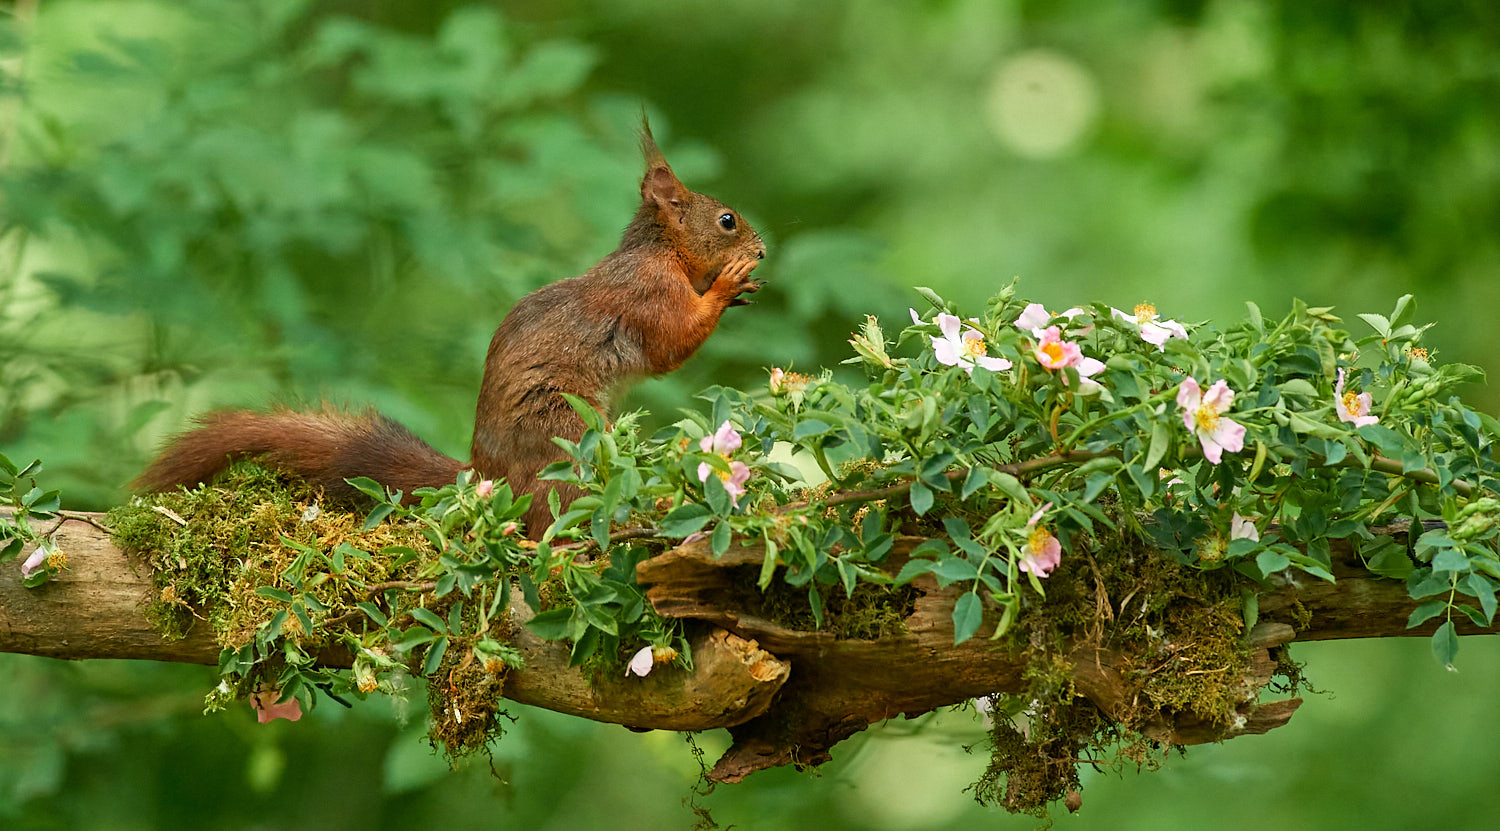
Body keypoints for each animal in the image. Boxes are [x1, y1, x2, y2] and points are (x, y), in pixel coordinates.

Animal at [134, 123, 766, 537]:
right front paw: (727, 285)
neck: (662, 253)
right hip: (570, 443)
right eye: (727, 220)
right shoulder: (647, 295)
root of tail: (488, 481)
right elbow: (670, 345)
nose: (761, 250)